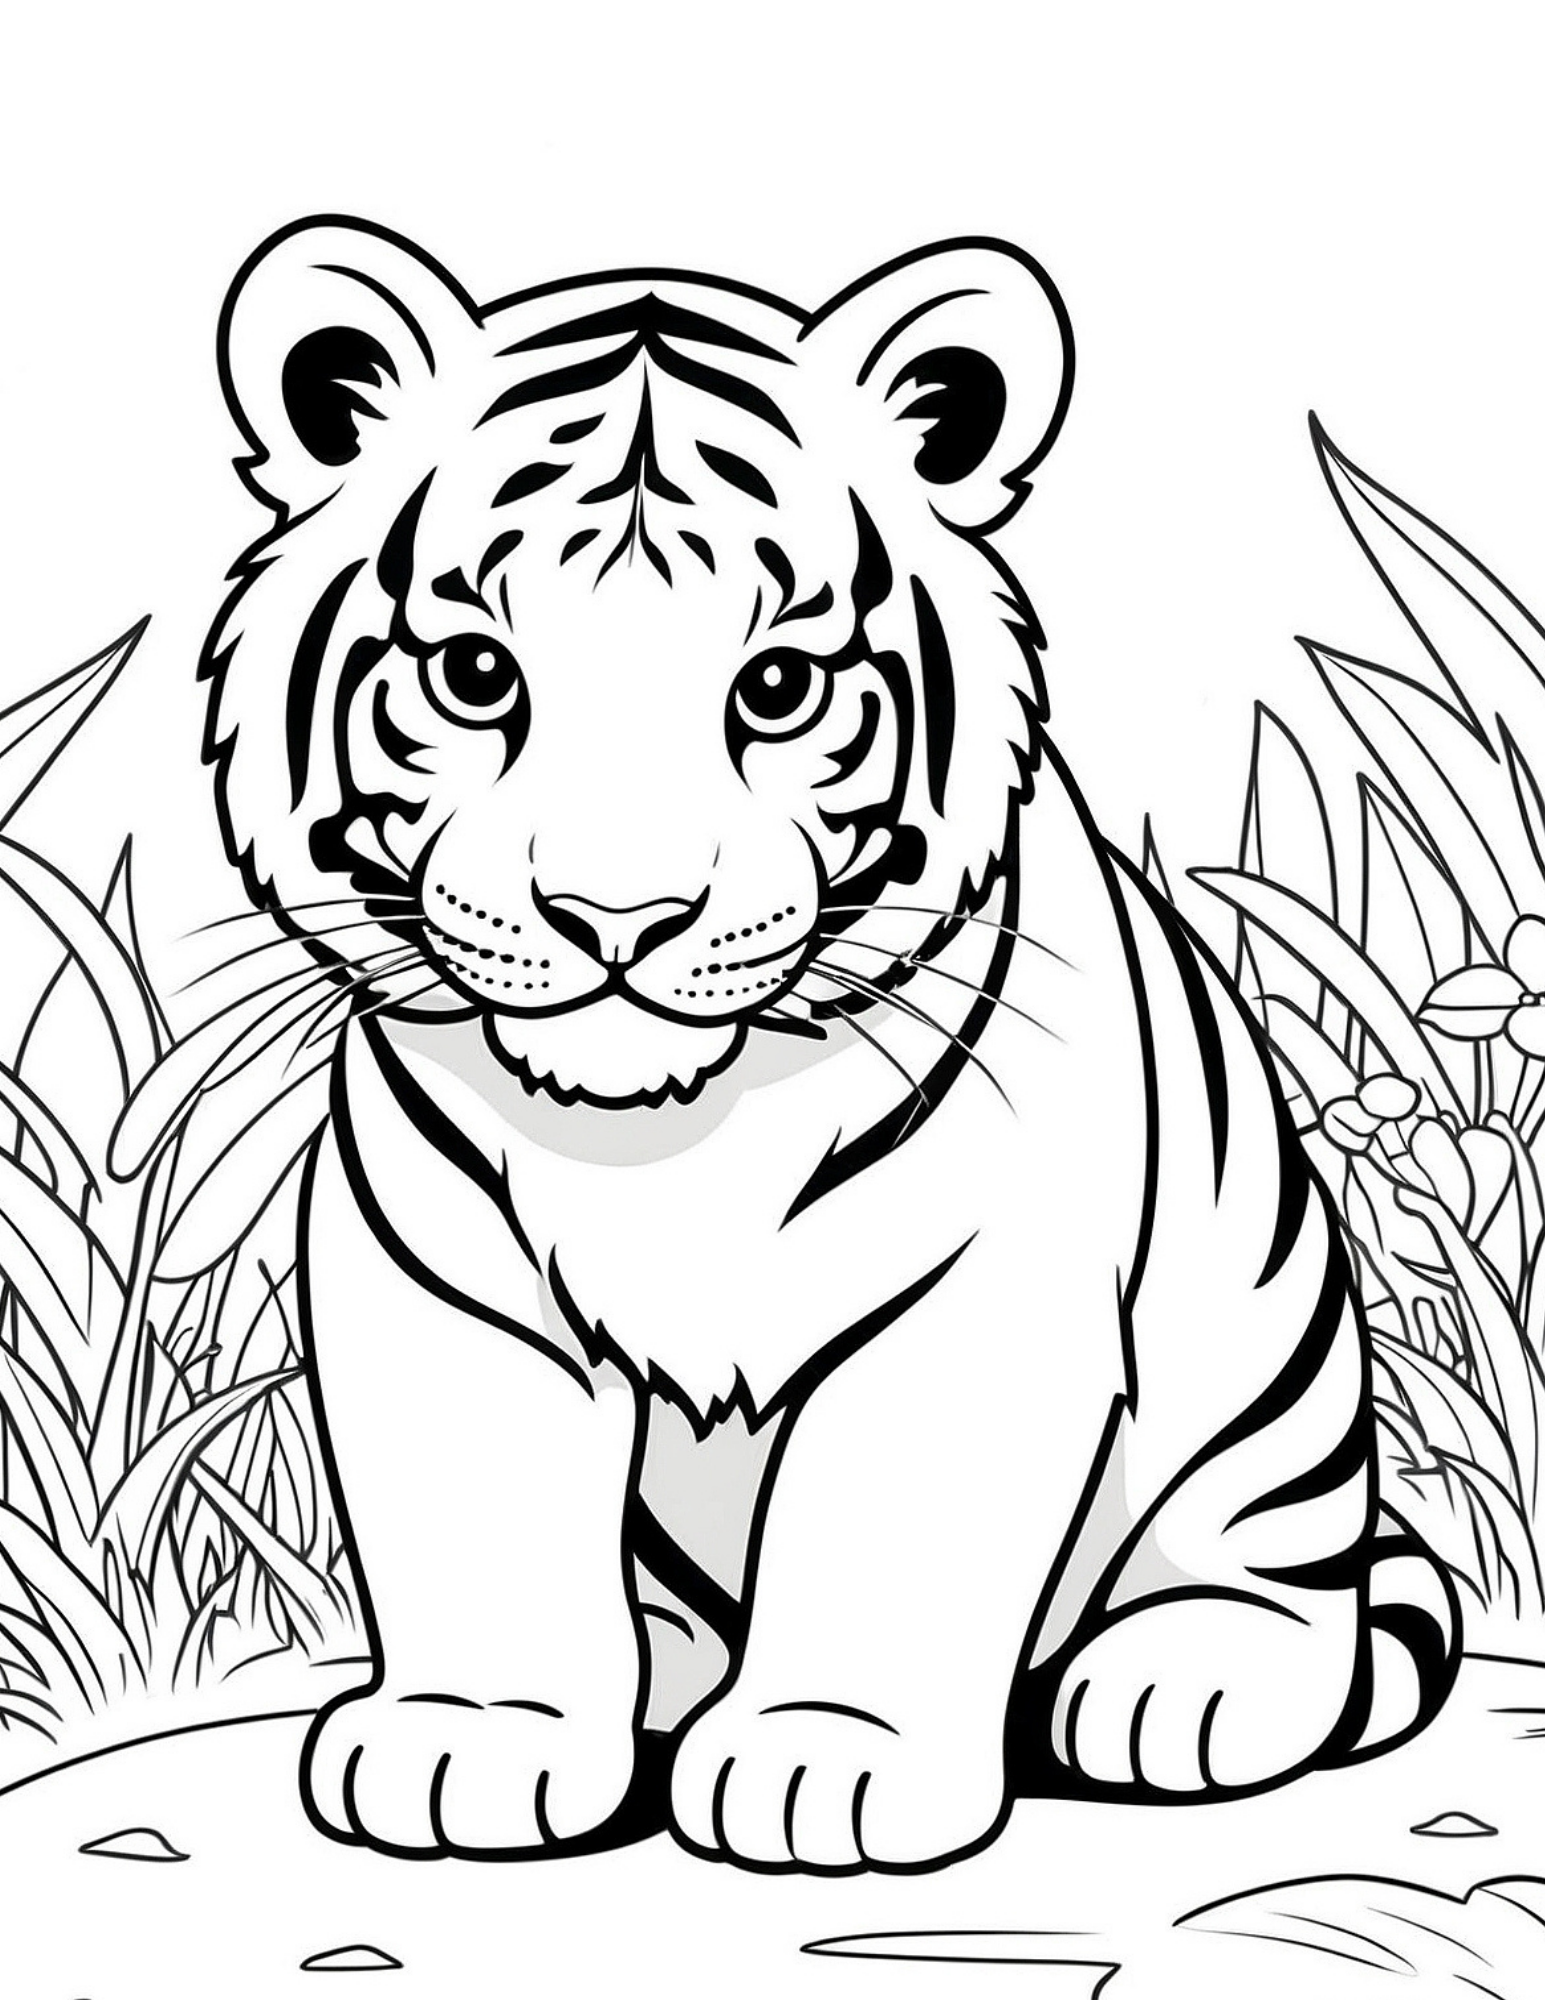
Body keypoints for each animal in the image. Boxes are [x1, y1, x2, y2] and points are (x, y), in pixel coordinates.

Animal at [200, 216, 1459, 1873]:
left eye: (779, 689)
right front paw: (472, 1742)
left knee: (1288, 1576)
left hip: (1264, 1353)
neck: (654, 1134)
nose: (618, 915)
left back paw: (1175, 1680)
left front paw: (826, 1765)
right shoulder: (440, 1284)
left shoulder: (968, 1302)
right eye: (477, 676)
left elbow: (876, 1531)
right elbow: (486, 1525)